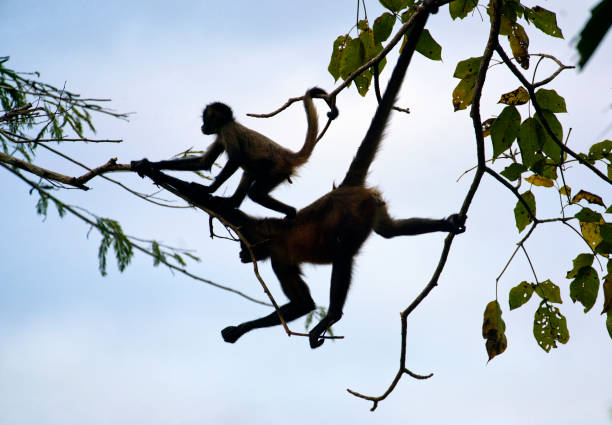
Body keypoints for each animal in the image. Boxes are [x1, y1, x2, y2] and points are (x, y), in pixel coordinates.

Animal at [133, 87, 340, 217]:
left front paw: (207, 189)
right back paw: (230, 203)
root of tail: (287, 154)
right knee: (249, 173)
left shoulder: (227, 130)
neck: (227, 123)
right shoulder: (220, 136)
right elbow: (203, 163)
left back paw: (290, 213)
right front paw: (148, 164)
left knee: (255, 192)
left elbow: (235, 159)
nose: (202, 127)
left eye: (205, 119)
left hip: (276, 170)